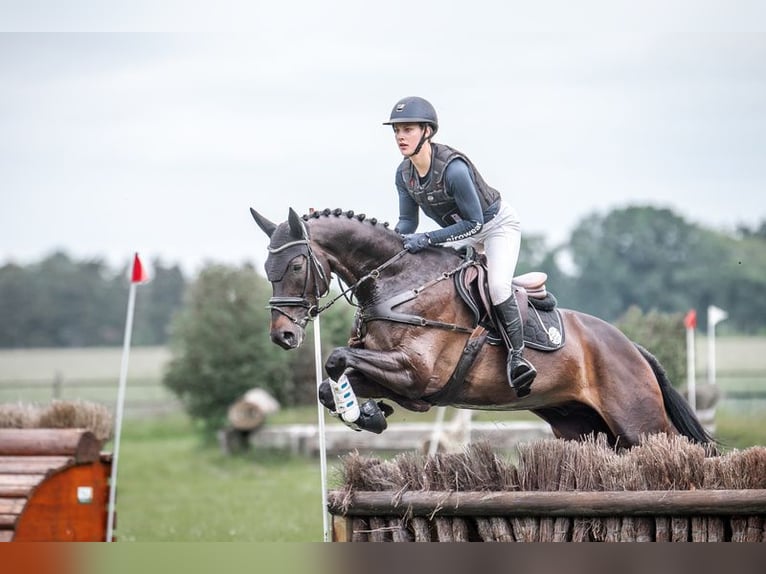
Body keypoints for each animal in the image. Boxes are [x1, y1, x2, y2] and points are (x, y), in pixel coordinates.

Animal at [250, 209, 712, 452]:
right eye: (266, 267)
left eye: (295, 266)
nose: (283, 336)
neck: (399, 283)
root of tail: (632, 347)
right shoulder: (394, 376)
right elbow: (331, 380)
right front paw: (368, 414)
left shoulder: (414, 372)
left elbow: (334, 359)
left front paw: (358, 413)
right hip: (583, 427)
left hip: (638, 421)